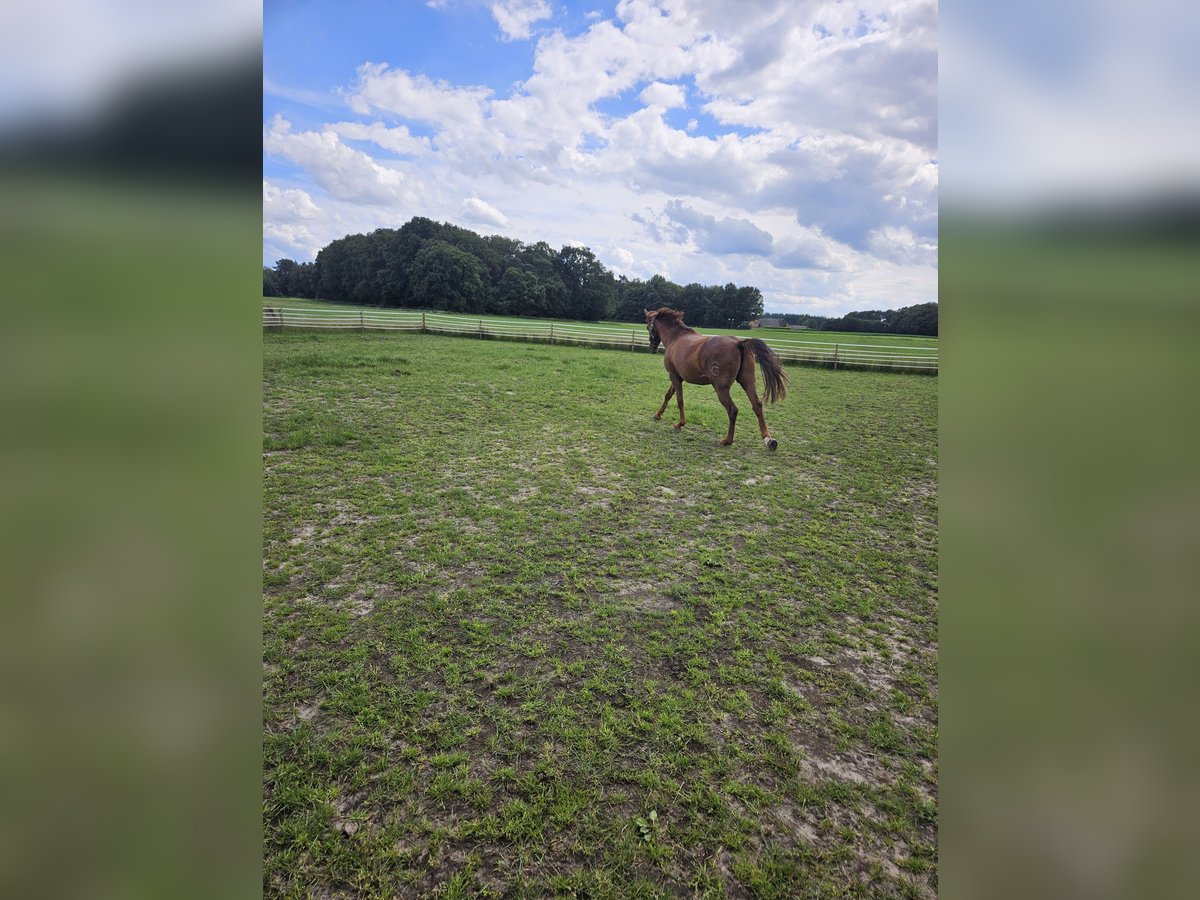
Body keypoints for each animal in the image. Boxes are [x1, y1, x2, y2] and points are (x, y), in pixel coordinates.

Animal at [643, 309, 792, 451]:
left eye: (648, 326)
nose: (652, 348)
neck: (676, 337)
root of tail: (739, 343)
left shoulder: (674, 376)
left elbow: (679, 400)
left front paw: (680, 424)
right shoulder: (677, 377)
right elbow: (668, 395)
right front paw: (658, 415)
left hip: (721, 389)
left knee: (732, 410)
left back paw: (728, 440)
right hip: (748, 383)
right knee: (757, 405)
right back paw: (768, 439)